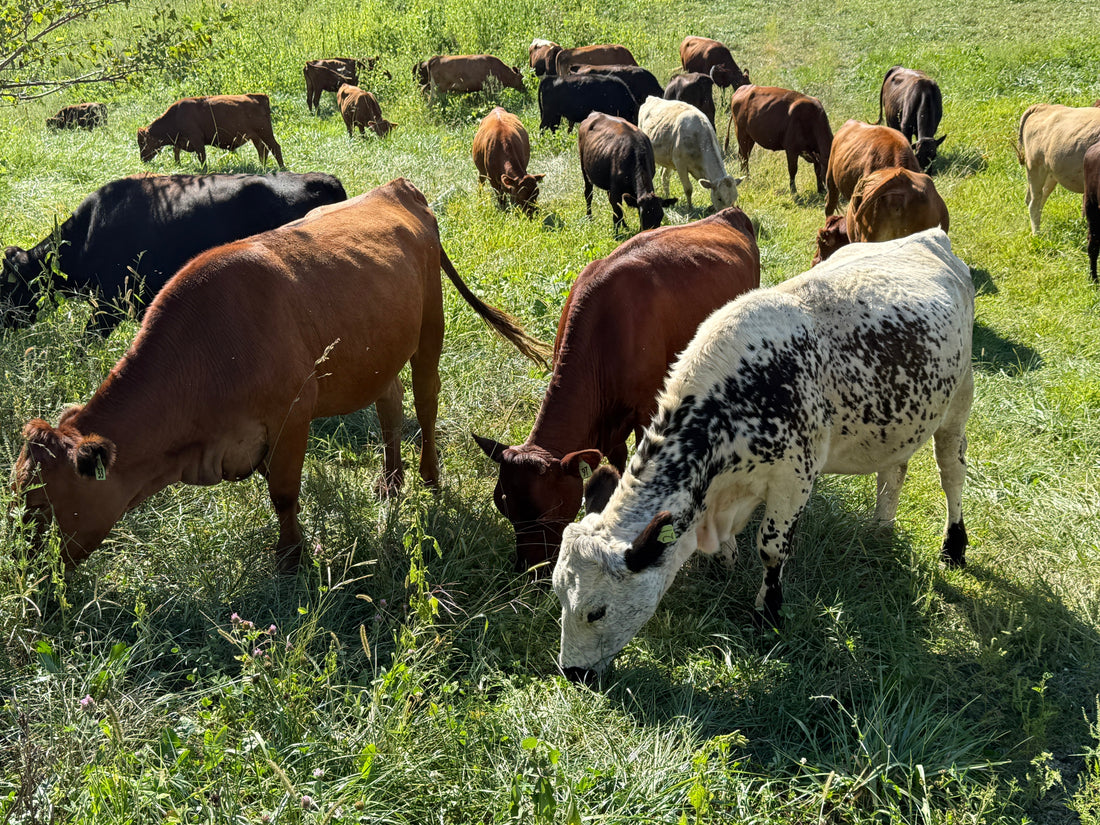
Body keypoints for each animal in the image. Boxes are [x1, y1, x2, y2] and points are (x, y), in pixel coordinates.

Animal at [137, 94, 286, 168]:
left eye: (142, 142)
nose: (142, 158)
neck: (176, 115)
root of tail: (259, 97)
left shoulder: (196, 140)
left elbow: (201, 156)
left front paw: (204, 170)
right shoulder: (181, 141)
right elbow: (176, 151)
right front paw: (178, 165)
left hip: (265, 133)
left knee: (275, 147)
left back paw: (282, 168)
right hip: (256, 137)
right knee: (263, 150)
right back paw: (263, 167)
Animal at [475, 207, 760, 573]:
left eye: (550, 514)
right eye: (503, 506)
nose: (531, 572)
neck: (605, 333)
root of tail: (728, 213)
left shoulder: (645, 410)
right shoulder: (609, 427)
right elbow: (617, 461)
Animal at [552, 228, 975, 682]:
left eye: (596, 611)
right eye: (559, 595)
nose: (572, 672)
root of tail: (930, 235)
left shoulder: (795, 477)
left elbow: (771, 548)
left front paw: (768, 613)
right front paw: (726, 567)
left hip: (959, 399)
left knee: (952, 472)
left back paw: (954, 545)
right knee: (893, 472)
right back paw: (880, 526)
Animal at [1017, 103, 1100, 234]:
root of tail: (1042, 106)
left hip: (1050, 175)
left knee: (1039, 199)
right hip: (1034, 167)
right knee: (1034, 203)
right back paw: (1037, 234)